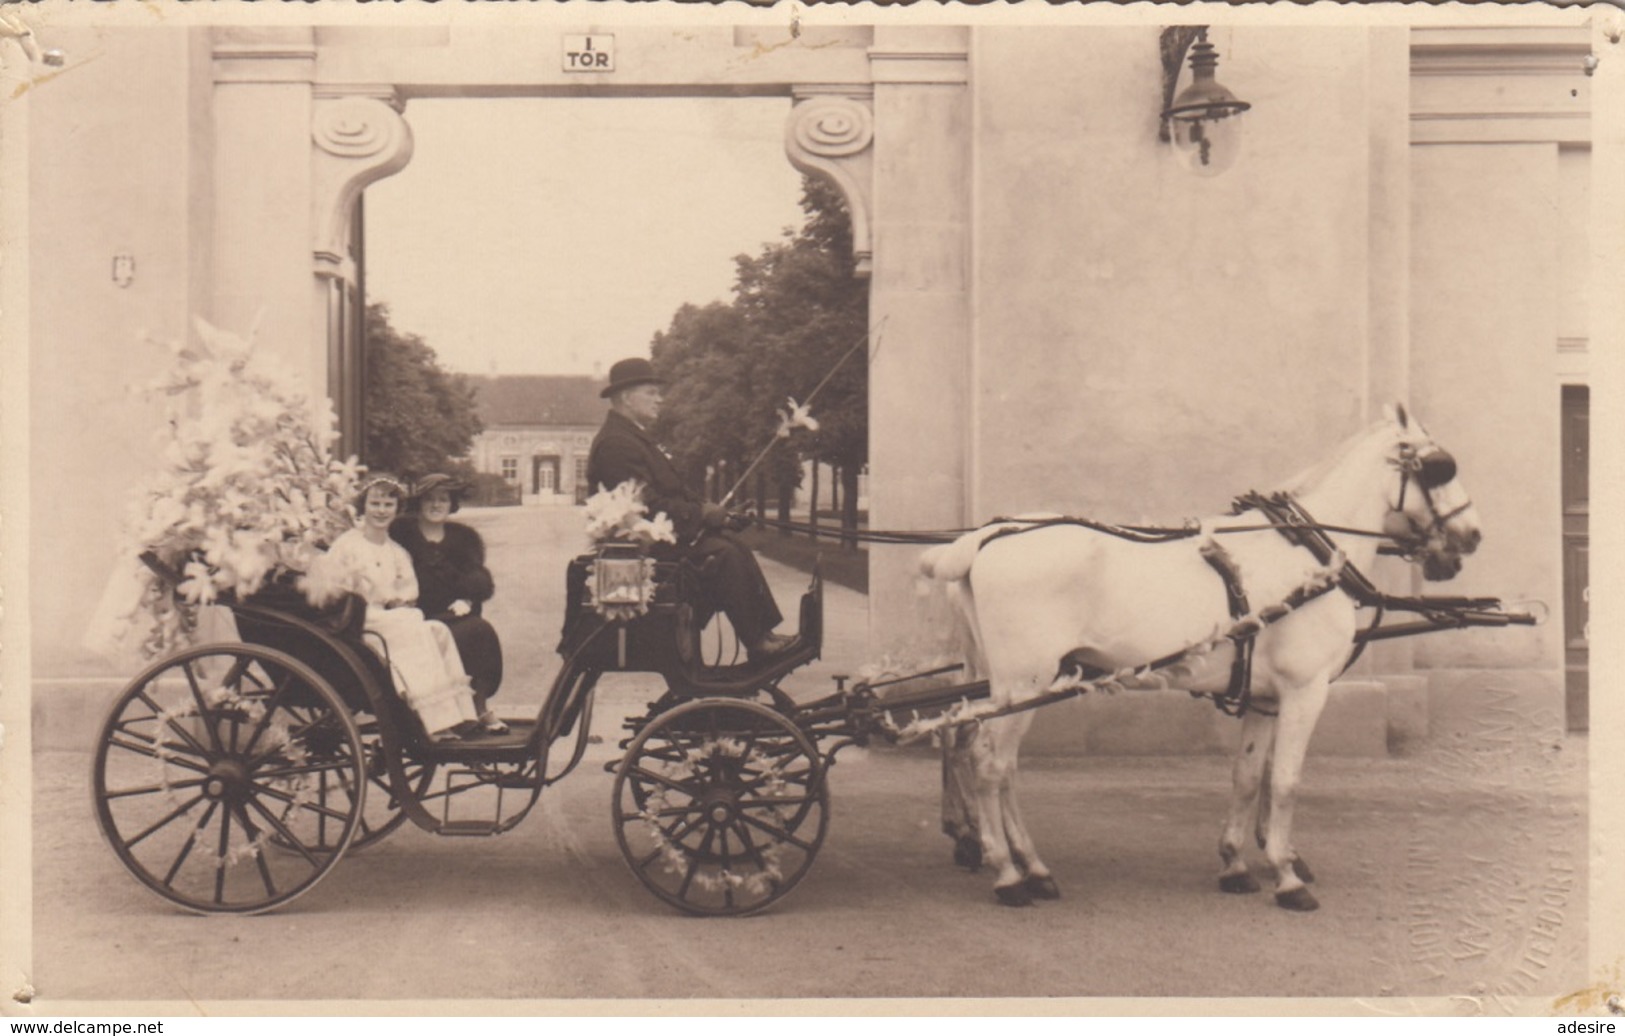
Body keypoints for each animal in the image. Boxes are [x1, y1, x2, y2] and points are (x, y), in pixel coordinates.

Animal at [923, 404, 1482, 909]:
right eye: (1440, 467)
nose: (1472, 535)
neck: (1310, 557)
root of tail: (985, 537)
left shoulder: (1265, 700)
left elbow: (1248, 777)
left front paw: (1236, 863)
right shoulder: (1304, 691)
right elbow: (1285, 782)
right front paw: (1286, 876)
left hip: (1005, 682)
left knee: (985, 753)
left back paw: (1030, 866)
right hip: (1026, 681)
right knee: (990, 762)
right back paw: (1007, 873)